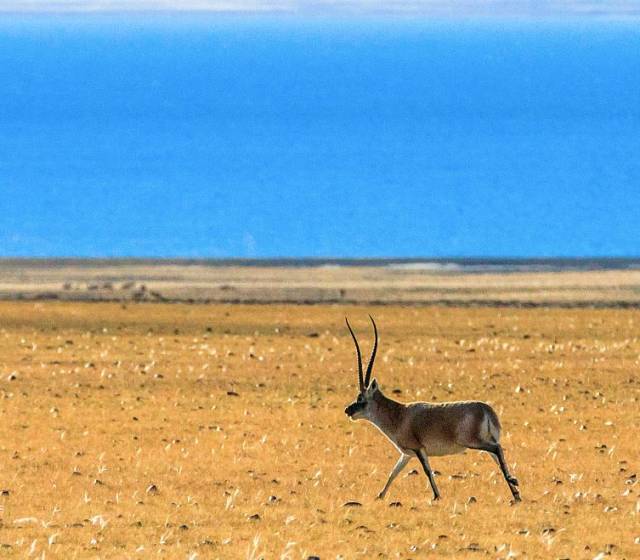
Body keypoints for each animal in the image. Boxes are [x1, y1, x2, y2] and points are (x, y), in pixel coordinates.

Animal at [344, 316, 520, 504]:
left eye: (360, 398)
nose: (348, 410)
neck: (398, 414)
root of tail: (485, 409)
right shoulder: (407, 454)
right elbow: (394, 472)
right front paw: (379, 496)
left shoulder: (418, 449)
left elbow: (427, 471)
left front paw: (436, 496)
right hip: (486, 440)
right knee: (499, 457)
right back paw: (516, 495)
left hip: (472, 442)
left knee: (497, 449)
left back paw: (514, 484)